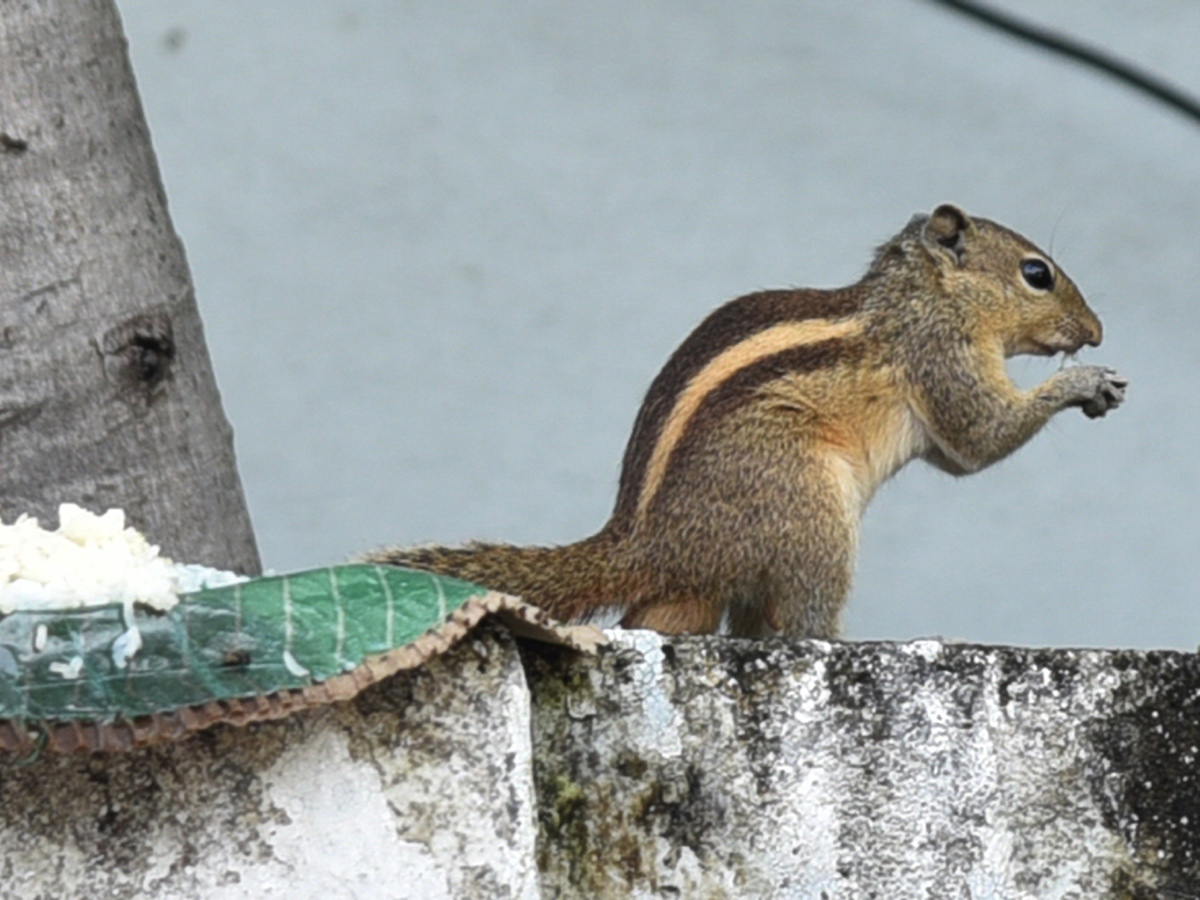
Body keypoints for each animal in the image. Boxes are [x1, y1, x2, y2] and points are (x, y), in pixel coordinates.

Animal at [362, 204, 1123, 643]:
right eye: (1036, 273)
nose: (1095, 331)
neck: (919, 297)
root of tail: (645, 545)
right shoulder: (941, 355)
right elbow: (980, 437)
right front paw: (1085, 382)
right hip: (807, 507)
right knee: (798, 621)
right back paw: (831, 641)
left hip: (701, 584)